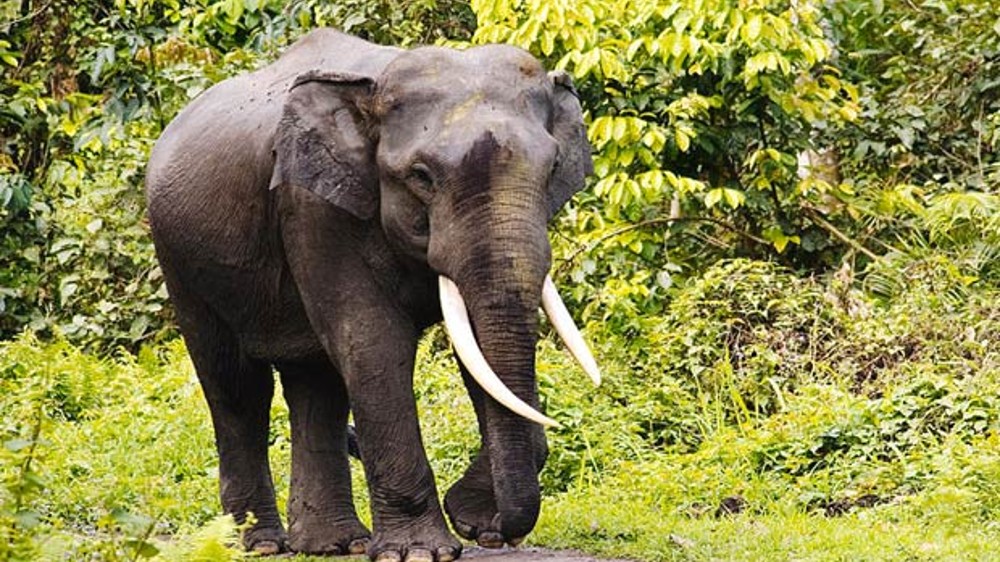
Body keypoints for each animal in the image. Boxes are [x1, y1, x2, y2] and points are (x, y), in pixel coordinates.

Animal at [145, 28, 600, 562]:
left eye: (552, 169)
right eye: (422, 176)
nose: (493, 531)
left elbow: (474, 356)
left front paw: (469, 520)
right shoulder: (313, 205)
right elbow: (372, 342)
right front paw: (422, 552)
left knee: (315, 384)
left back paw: (334, 543)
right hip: (181, 260)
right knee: (238, 387)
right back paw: (261, 545)